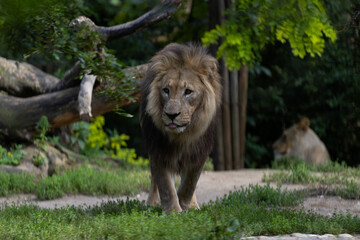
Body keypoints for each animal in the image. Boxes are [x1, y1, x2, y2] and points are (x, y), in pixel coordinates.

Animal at [139, 43, 221, 212]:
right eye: (166, 90)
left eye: (188, 91)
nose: (171, 115)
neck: (182, 136)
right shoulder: (158, 149)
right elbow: (165, 185)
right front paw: (173, 212)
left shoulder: (199, 152)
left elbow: (190, 183)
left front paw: (185, 206)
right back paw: (152, 203)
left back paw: (193, 205)